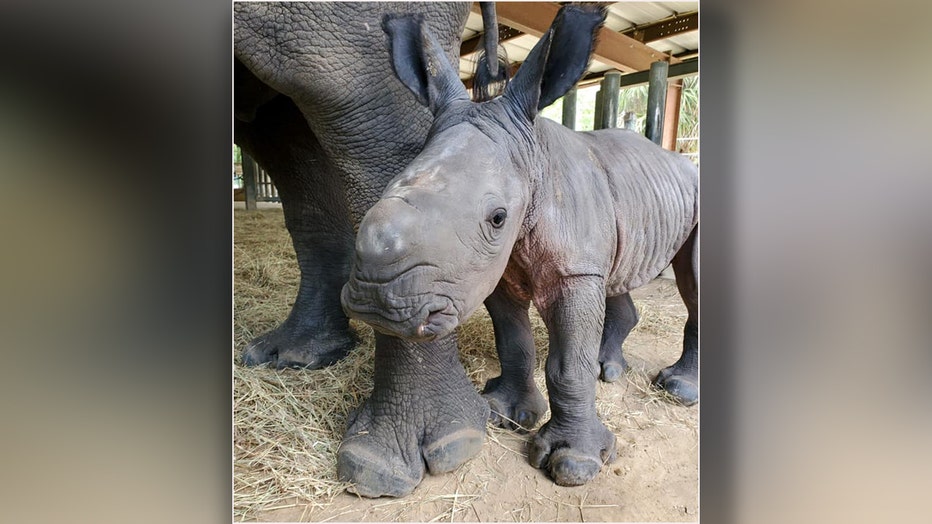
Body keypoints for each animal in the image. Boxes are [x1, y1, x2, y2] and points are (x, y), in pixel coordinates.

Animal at [342, 5, 699, 487]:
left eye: (497, 218)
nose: (377, 302)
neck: (534, 163)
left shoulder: (572, 270)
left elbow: (568, 365)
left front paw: (574, 464)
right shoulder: (496, 270)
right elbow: (514, 341)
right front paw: (506, 413)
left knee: (693, 281)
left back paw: (678, 388)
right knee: (616, 275)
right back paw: (610, 370)